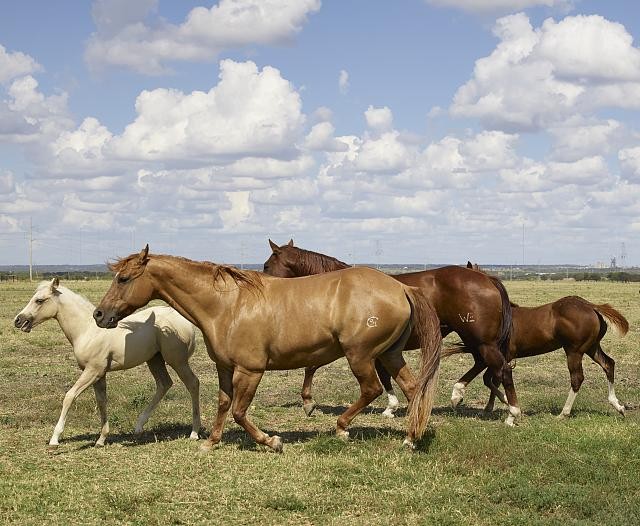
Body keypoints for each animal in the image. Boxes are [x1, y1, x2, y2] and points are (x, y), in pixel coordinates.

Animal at [14, 278, 201, 447]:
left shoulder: (92, 371)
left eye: (39, 300)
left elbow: (70, 396)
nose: (18, 320)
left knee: (192, 383)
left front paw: (54, 439)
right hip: (154, 359)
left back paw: (194, 432)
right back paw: (139, 426)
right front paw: (101, 440)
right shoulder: (100, 374)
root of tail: (185, 321)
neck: (88, 330)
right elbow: (102, 401)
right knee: (164, 384)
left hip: (177, 360)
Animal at [93, 245, 442, 452]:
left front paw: (271, 441)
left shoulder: (251, 370)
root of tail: (401, 287)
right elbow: (223, 403)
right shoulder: (224, 367)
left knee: (372, 389)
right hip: (390, 353)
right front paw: (210, 442)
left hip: (361, 355)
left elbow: (239, 410)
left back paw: (343, 429)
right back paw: (411, 437)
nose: (99, 315)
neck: (226, 305)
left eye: (124, 278)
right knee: (413, 388)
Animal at [263, 239, 521, 425]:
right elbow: (386, 375)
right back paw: (460, 392)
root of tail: (486, 278)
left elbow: (312, 366)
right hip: (475, 339)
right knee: (484, 364)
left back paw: (512, 412)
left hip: (481, 340)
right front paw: (394, 406)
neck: (338, 288)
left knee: (502, 369)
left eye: (266, 265)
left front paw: (308, 401)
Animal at [443, 262, 629, 418]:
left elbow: (490, 379)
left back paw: (564, 413)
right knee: (608, 364)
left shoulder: (496, 354)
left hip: (574, 350)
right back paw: (618, 406)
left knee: (577, 378)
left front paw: (503, 403)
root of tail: (592, 306)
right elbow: (491, 379)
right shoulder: (493, 357)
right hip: (591, 347)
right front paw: (491, 406)